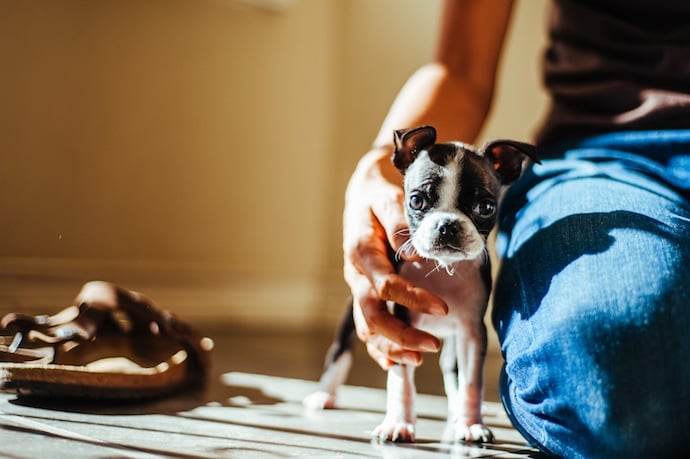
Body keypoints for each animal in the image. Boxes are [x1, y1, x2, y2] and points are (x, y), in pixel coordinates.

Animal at [302, 126, 536, 446]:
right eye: (416, 201)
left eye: (486, 207)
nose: (448, 225)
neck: (443, 268)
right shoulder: (400, 329)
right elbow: (401, 381)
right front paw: (398, 423)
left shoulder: (472, 331)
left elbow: (471, 381)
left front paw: (472, 424)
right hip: (355, 309)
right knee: (340, 349)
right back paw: (325, 393)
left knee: (452, 367)